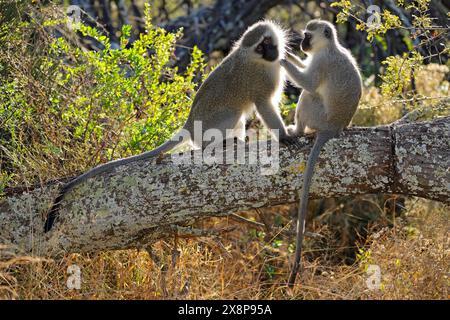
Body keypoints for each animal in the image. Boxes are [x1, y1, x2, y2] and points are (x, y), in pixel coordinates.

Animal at [43, 20, 296, 232]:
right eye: (261, 48)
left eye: (267, 43)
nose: (271, 53)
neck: (257, 61)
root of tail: (190, 125)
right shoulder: (261, 81)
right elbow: (264, 105)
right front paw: (284, 136)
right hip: (214, 122)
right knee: (228, 120)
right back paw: (217, 144)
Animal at [282, 18, 362, 286]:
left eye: (308, 35)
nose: (302, 44)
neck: (328, 47)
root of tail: (334, 128)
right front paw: (286, 52)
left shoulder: (321, 62)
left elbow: (308, 83)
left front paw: (281, 59)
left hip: (318, 115)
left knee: (308, 95)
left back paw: (297, 130)